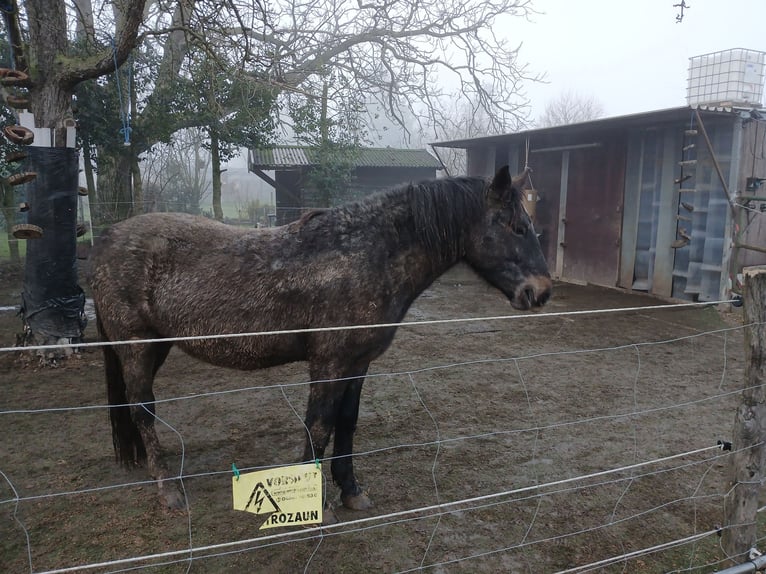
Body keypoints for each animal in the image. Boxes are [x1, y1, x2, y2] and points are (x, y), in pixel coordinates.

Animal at [87, 165, 552, 512]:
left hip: (157, 346)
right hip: (137, 347)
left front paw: (351, 491)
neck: (365, 253)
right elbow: (319, 426)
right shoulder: (328, 362)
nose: (542, 291)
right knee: (142, 409)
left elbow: (346, 422)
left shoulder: (357, 363)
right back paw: (168, 490)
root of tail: (108, 237)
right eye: (515, 226)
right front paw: (310, 500)